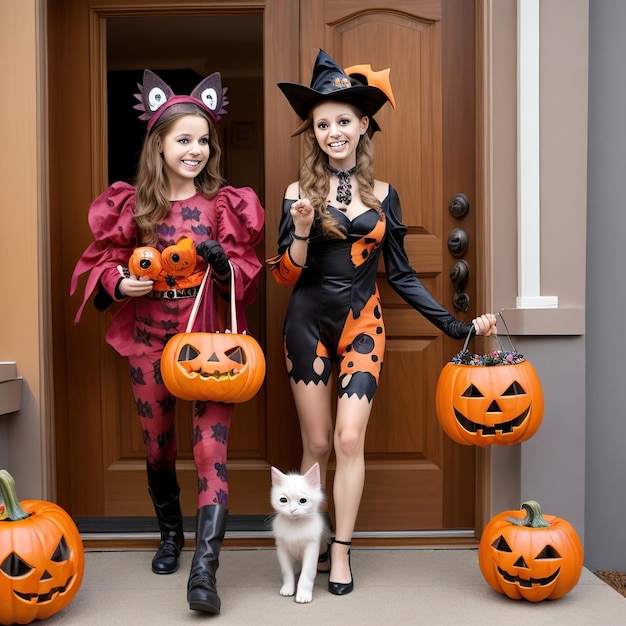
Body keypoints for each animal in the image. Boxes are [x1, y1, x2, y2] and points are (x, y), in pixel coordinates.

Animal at [268, 464, 330, 600]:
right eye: (283, 500)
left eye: (303, 501)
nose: (292, 510)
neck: (295, 525)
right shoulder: (282, 549)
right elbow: (287, 572)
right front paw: (287, 589)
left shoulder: (311, 548)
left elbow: (307, 574)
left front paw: (303, 594)